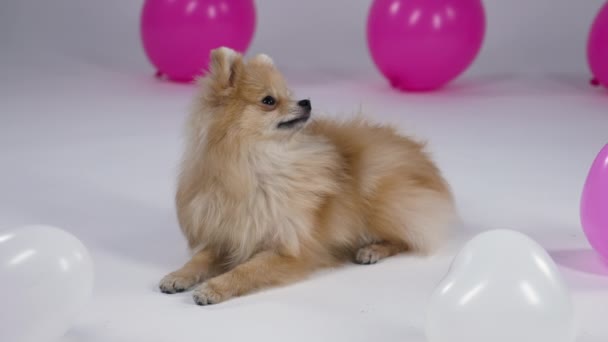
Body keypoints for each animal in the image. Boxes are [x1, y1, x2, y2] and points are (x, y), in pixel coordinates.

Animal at [159, 46, 454, 304]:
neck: (257, 164)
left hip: (381, 195)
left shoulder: (288, 249)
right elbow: (200, 259)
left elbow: (246, 270)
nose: (306, 101)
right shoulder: (227, 237)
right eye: (269, 101)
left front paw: (214, 288)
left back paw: (372, 249)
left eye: (291, 94)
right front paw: (178, 276)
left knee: (407, 237)